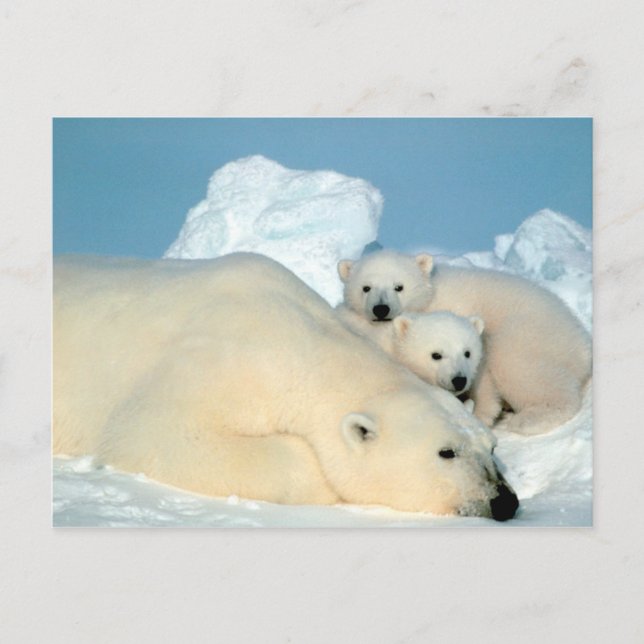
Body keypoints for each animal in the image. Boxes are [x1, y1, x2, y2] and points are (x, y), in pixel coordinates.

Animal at [338, 249, 591, 435]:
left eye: (398, 286)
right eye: (366, 287)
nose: (381, 309)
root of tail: (582, 341)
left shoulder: (458, 310)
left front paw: (479, 413)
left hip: (532, 333)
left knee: (519, 365)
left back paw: (529, 419)